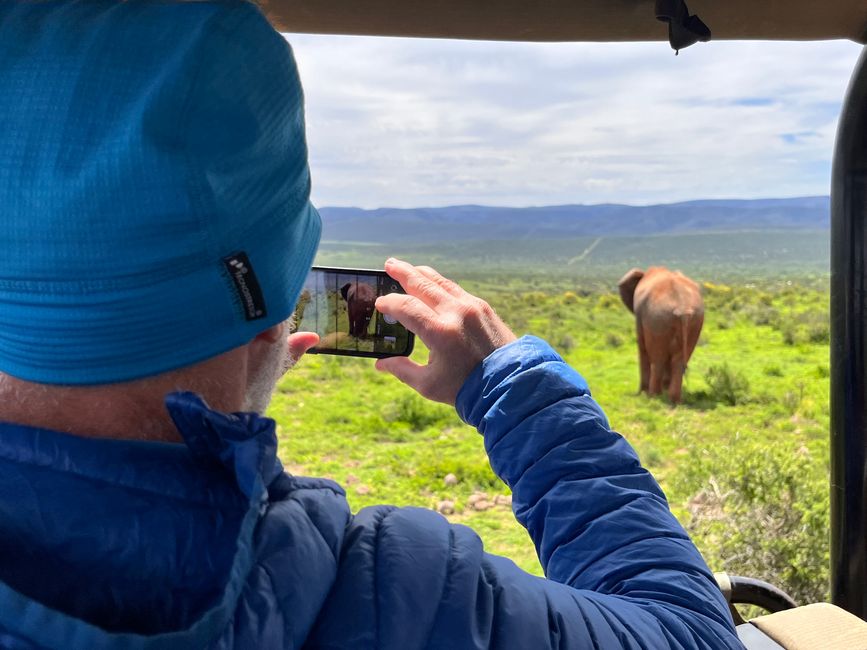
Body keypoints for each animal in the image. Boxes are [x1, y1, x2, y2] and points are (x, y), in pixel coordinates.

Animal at [616, 266, 704, 402]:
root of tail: (682, 309)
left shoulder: (640, 316)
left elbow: (642, 346)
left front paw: (642, 393)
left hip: (657, 319)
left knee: (658, 358)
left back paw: (653, 396)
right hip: (693, 322)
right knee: (678, 361)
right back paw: (673, 400)